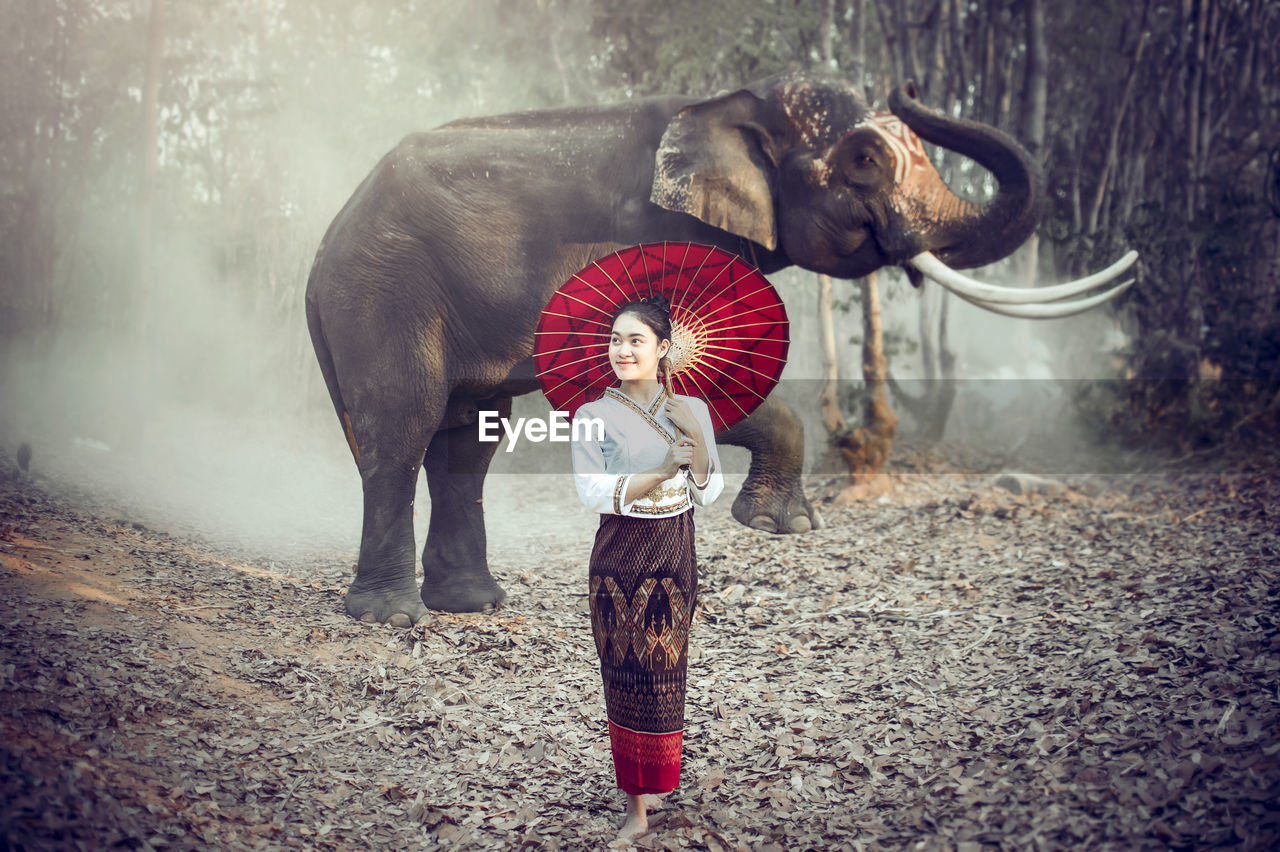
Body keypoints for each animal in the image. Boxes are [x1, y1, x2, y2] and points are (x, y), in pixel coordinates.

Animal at [304, 69, 1136, 621]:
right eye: (864, 159)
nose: (909, 85)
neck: (725, 105)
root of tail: (327, 241)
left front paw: (778, 524)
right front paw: (781, 526)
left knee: (466, 440)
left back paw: (472, 604)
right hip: (385, 292)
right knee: (403, 425)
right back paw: (391, 618)